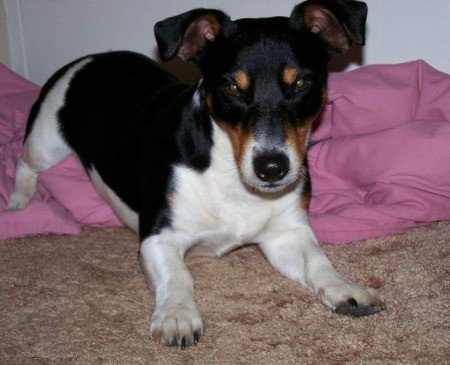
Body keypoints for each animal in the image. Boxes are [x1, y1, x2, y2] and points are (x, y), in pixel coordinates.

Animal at [8, 0, 384, 350]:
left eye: (302, 83)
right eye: (231, 88)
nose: (272, 168)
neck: (231, 174)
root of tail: (90, 58)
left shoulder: (286, 234)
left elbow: (318, 261)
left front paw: (344, 288)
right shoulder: (158, 237)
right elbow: (179, 275)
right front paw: (176, 314)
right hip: (46, 143)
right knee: (24, 162)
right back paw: (18, 201)